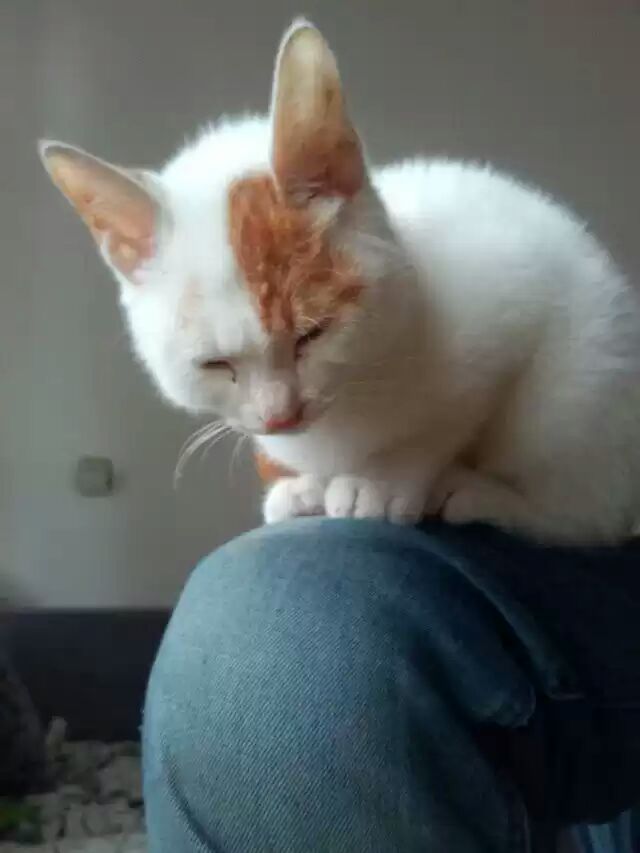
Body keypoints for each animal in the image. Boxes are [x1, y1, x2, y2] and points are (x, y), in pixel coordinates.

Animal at [39, 19, 640, 545]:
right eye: (213, 364)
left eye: (314, 333)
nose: (281, 415)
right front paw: (306, 485)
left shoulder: (517, 286)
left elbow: (452, 417)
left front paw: (381, 477)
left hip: (586, 381)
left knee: (590, 510)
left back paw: (477, 494)